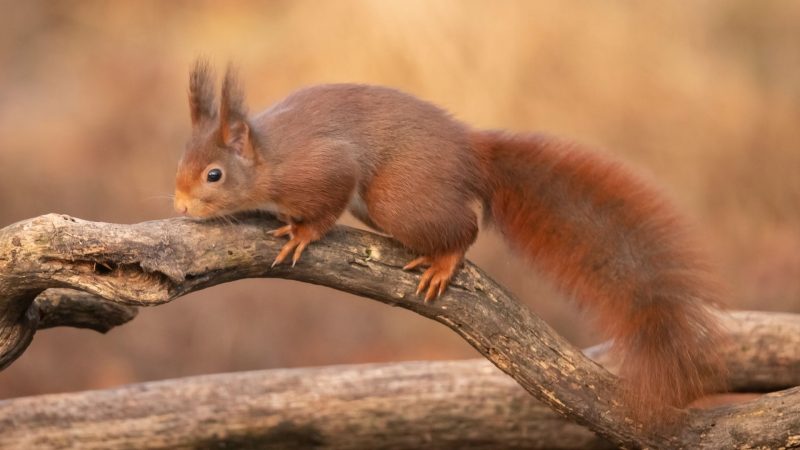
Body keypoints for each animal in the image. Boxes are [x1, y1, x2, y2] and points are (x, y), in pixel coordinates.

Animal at [173, 61, 724, 420]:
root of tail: (472, 154)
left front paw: (302, 233)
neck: (270, 158)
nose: (179, 207)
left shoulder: (325, 167)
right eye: (182, 161)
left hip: (398, 199)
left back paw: (444, 260)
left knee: (466, 228)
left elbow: (325, 205)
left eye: (214, 175)